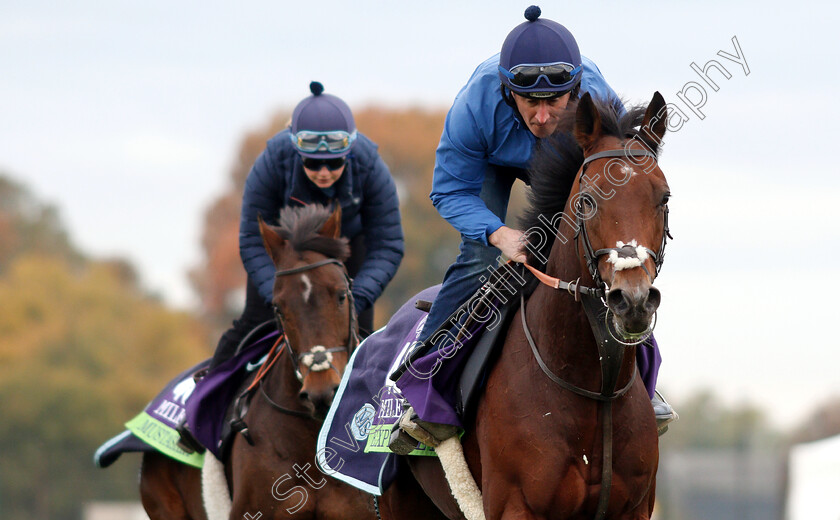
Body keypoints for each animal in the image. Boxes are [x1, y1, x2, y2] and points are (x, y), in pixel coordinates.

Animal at [380, 92, 668, 520]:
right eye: (587, 201)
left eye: (664, 198)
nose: (632, 300)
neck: (595, 387)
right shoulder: (516, 505)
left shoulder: (634, 508)